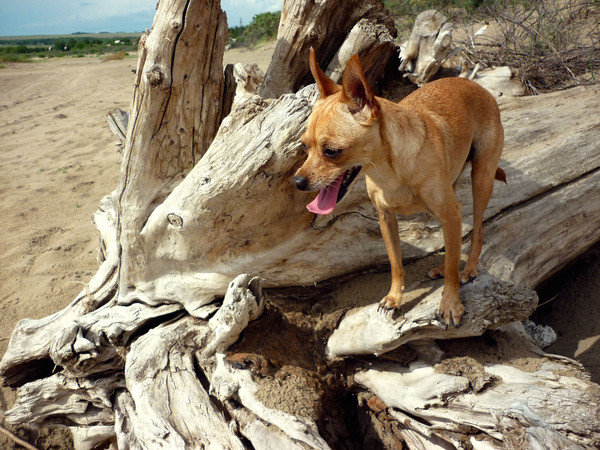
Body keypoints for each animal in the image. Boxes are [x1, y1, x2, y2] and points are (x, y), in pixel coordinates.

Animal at [292, 48, 504, 324]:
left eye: (331, 151)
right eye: (304, 146)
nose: (297, 181)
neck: (388, 173)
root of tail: (478, 86)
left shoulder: (451, 212)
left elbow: (451, 266)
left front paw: (450, 303)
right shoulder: (386, 218)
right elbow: (395, 263)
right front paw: (394, 298)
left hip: (481, 179)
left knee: (477, 230)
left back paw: (468, 269)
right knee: (452, 245)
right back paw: (443, 267)